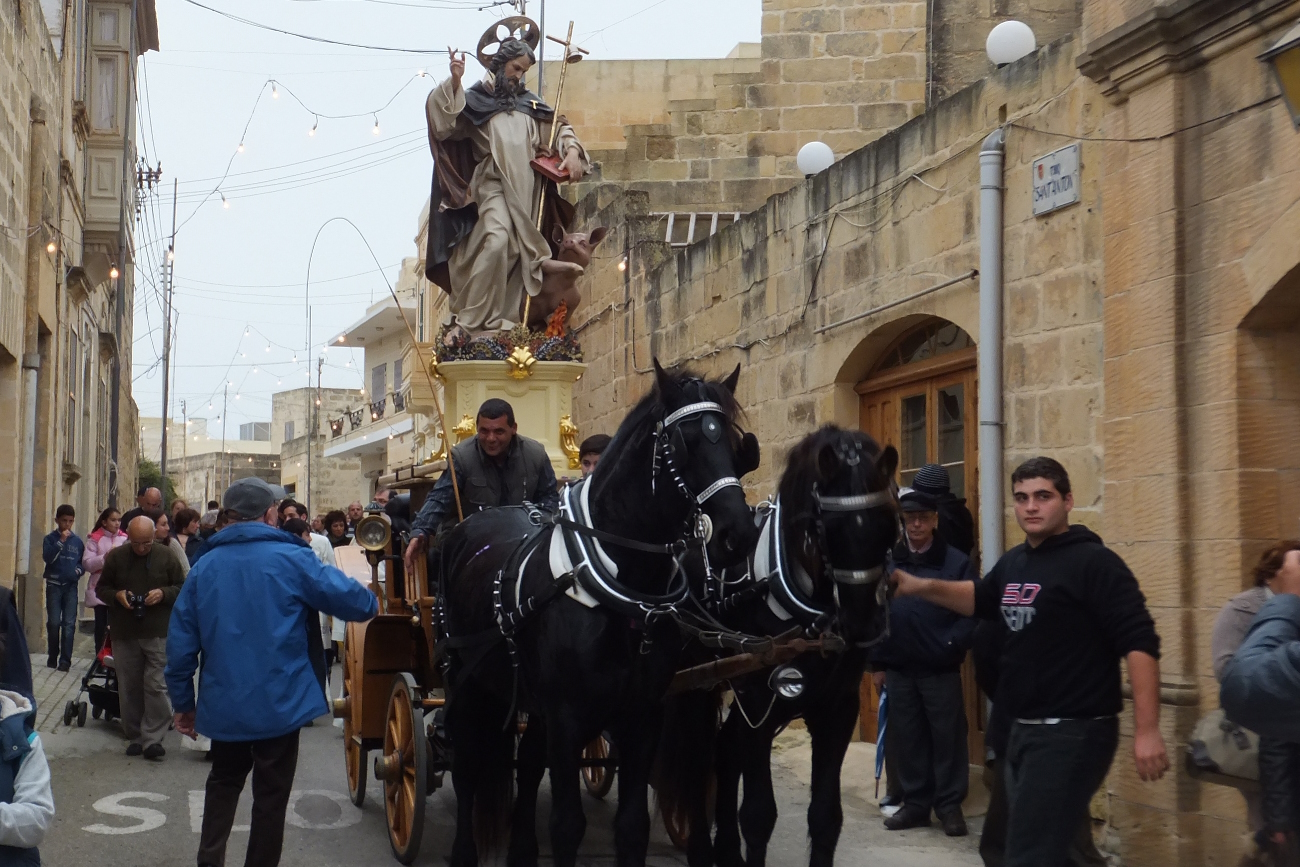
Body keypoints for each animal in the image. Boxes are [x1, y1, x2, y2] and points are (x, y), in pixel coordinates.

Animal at [436, 363, 759, 867]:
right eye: (684, 442)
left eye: (731, 441)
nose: (738, 533)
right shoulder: (567, 718)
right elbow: (567, 825)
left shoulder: (641, 716)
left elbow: (632, 827)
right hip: (465, 680)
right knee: (468, 764)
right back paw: (465, 852)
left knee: (528, 764)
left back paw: (522, 850)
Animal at [660, 426, 894, 867]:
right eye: (827, 528)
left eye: (888, 523)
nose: (862, 625)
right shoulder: (758, 702)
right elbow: (757, 815)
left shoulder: (837, 709)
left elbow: (826, 816)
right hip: (695, 686)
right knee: (697, 759)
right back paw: (700, 848)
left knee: (722, 749)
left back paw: (726, 851)